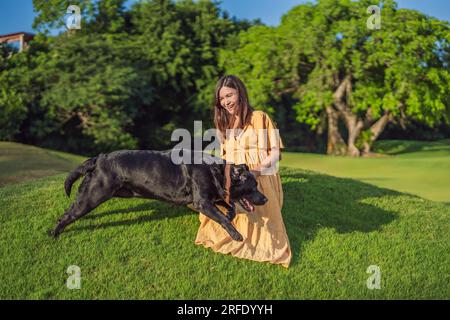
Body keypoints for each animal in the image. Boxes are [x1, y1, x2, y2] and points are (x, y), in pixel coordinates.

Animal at [49, 149, 268, 240]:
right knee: (67, 215)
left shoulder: (211, 198)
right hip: (92, 195)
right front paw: (236, 235)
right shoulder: (202, 203)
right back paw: (54, 233)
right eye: (252, 187)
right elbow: (222, 218)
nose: (265, 199)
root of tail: (99, 159)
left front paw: (231, 213)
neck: (217, 171)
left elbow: (228, 207)